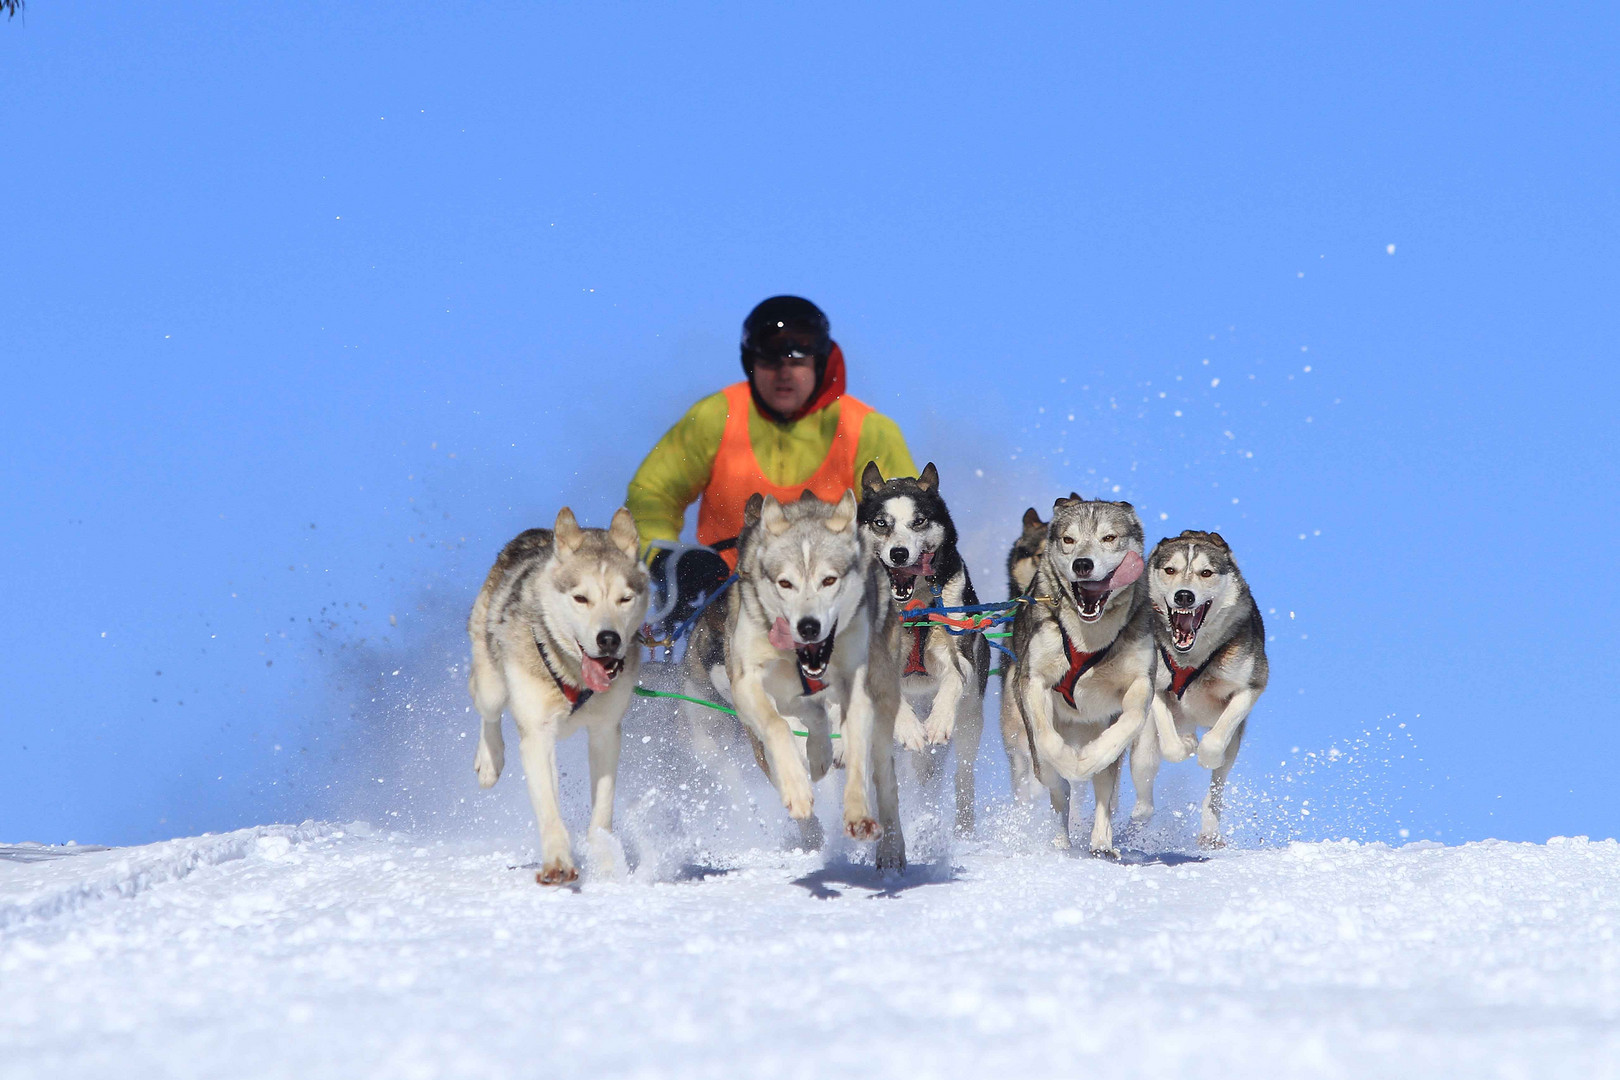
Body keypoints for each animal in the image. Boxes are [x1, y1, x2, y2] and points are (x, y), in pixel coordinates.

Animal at [466, 511, 648, 880]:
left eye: (625, 599)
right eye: (581, 598)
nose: (609, 639)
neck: (572, 675)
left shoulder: (605, 733)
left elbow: (602, 811)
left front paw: (607, 862)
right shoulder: (538, 735)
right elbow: (550, 810)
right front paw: (558, 860)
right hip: (492, 683)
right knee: (486, 707)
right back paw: (490, 760)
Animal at [1004, 495, 1159, 854]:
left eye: (1109, 538)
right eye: (1068, 539)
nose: (1083, 565)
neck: (1088, 638)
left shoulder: (1139, 683)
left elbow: (1128, 724)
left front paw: (1087, 760)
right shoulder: (1033, 681)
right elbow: (1046, 742)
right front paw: (1066, 763)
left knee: (1105, 784)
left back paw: (1102, 840)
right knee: (1056, 787)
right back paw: (1061, 838)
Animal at [1134, 531, 1270, 841]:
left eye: (1206, 573)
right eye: (1170, 570)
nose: (1184, 595)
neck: (1191, 660)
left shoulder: (1251, 685)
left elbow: (1215, 742)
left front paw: (1206, 753)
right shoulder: (1154, 687)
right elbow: (1171, 743)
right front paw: (1185, 745)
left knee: (1217, 787)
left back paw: (1210, 830)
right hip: (1143, 743)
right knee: (1145, 776)